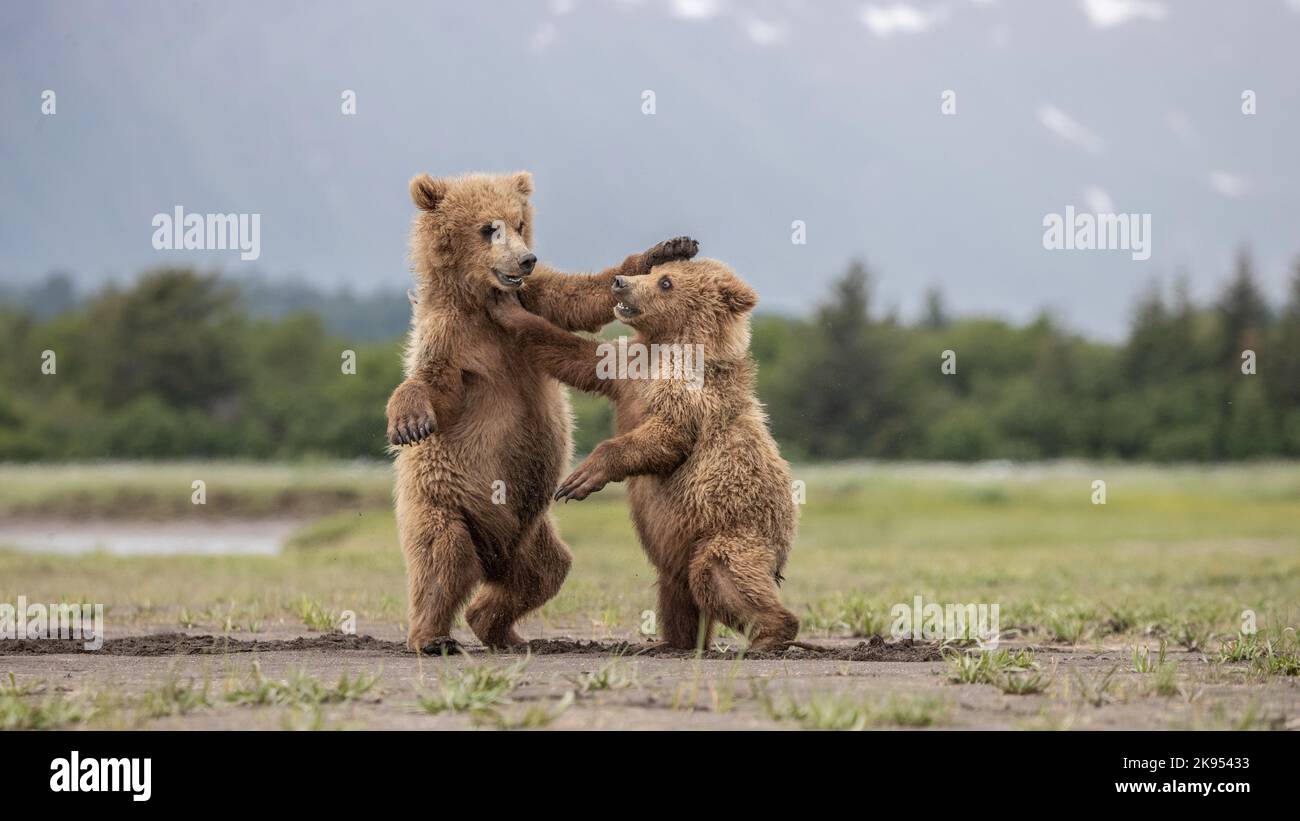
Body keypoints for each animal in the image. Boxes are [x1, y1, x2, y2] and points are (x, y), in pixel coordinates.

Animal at [388, 170, 698, 653]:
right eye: (488, 228)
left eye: (519, 223)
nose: (526, 260)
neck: (482, 300)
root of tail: (494, 556)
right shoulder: (452, 334)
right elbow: (437, 383)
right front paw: (409, 419)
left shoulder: (534, 297)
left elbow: (578, 297)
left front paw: (668, 248)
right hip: (446, 499)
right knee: (442, 559)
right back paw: (432, 637)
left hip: (530, 533)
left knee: (544, 573)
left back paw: (502, 630)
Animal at [486, 258, 800, 651]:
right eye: (653, 272)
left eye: (666, 282)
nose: (620, 282)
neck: (665, 347)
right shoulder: (628, 369)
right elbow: (578, 356)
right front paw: (508, 307)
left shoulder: (688, 392)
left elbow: (666, 435)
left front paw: (579, 478)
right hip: (680, 541)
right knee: (677, 587)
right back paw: (674, 642)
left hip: (733, 529)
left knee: (719, 573)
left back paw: (770, 633)